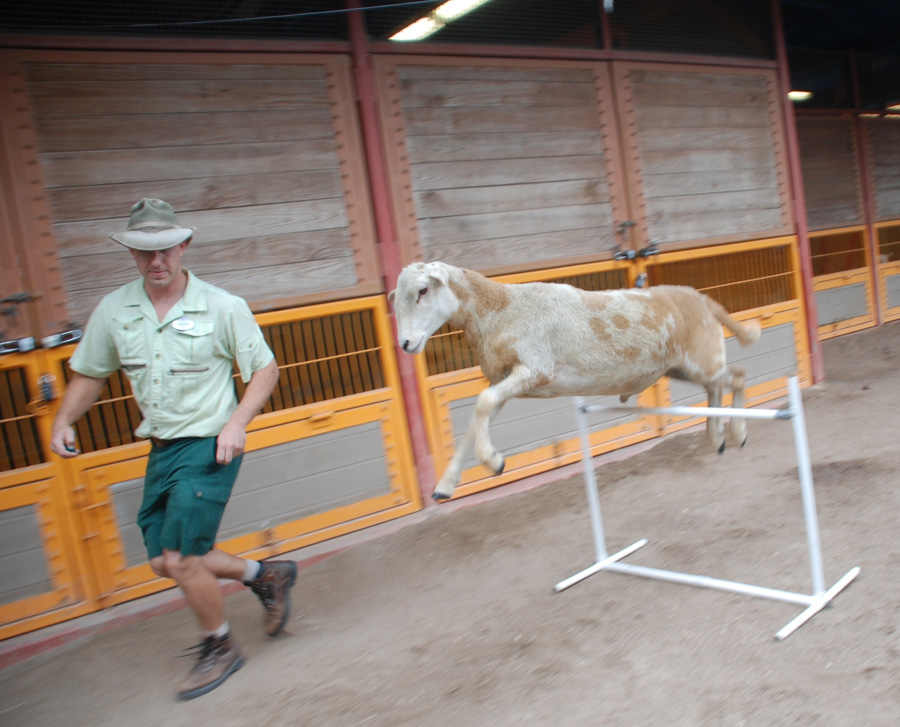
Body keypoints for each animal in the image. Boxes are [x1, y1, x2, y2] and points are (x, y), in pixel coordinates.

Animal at [389, 261, 761, 501]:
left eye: (423, 290)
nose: (405, 344)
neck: (500, 310)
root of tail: (703, 299)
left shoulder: (535, 368)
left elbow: (481, 403)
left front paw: (493, 461)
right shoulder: (511, 382)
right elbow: (474, 419)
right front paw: (445, 485)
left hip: (702, 359)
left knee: (737, 378)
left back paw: (738, 433)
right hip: (682, 367)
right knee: (718, 387)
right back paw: (717, 438)